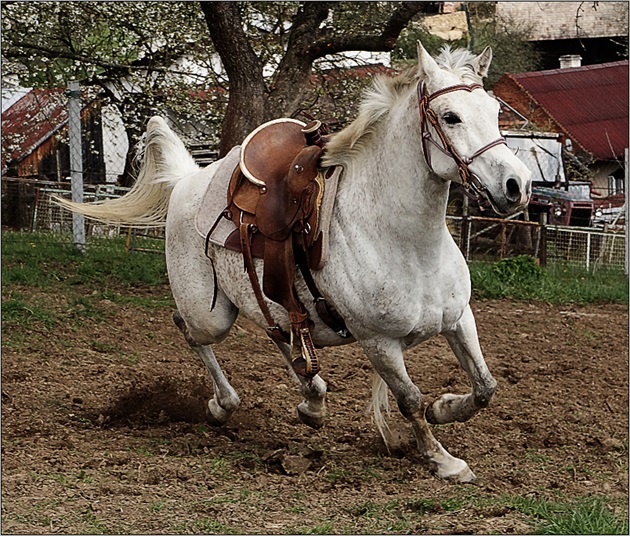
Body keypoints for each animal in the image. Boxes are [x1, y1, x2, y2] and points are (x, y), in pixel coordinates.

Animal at [58, 43, 532, 482]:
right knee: (189, 328)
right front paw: (444, 460)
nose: (518, 185)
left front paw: (444, 407)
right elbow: (410, 400)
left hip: (269, 299)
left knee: (280, 333)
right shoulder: (378, 342)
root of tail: (188, 180)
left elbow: (485, 387)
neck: (408, 245)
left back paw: (312, 399)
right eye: (450, 117)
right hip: (209, 314)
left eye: (494, 111)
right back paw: (223, 405)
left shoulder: (459, 318)